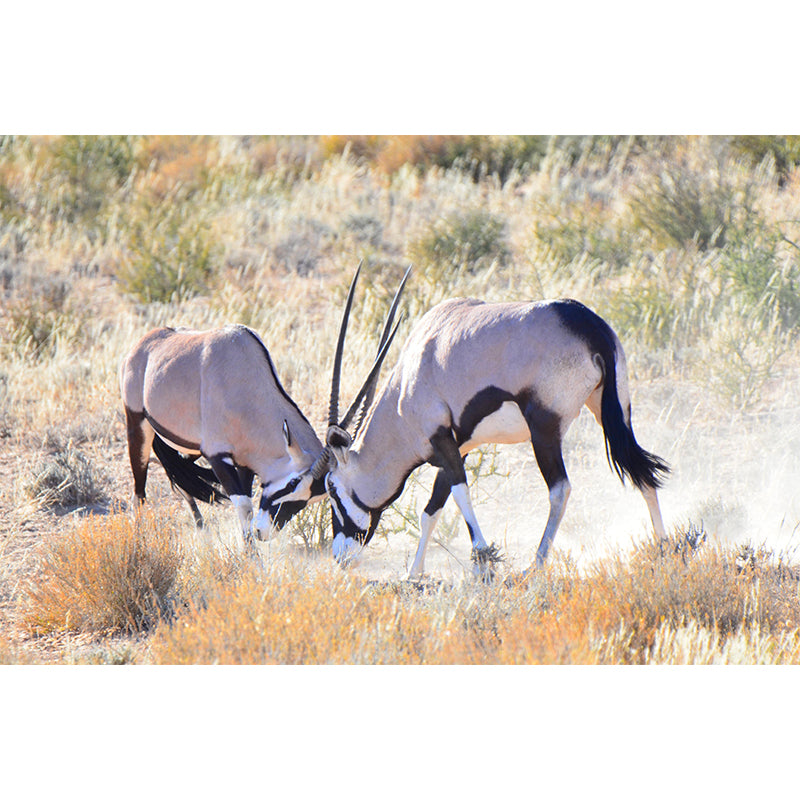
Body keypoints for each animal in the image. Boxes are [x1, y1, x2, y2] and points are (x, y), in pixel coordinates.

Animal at [304, 272, 669, 576]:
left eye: (331, 489)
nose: (340, 556)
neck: (405, 390)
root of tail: (587, 324)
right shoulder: (459, 446)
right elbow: (431, 509)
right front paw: (414, 574)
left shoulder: (443, 441)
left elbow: (460, 494)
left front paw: (482, 559)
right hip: (614, 411)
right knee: (642, 470)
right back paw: (663, 546)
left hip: (544, 430)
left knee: (560, 489)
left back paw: (535, 565)